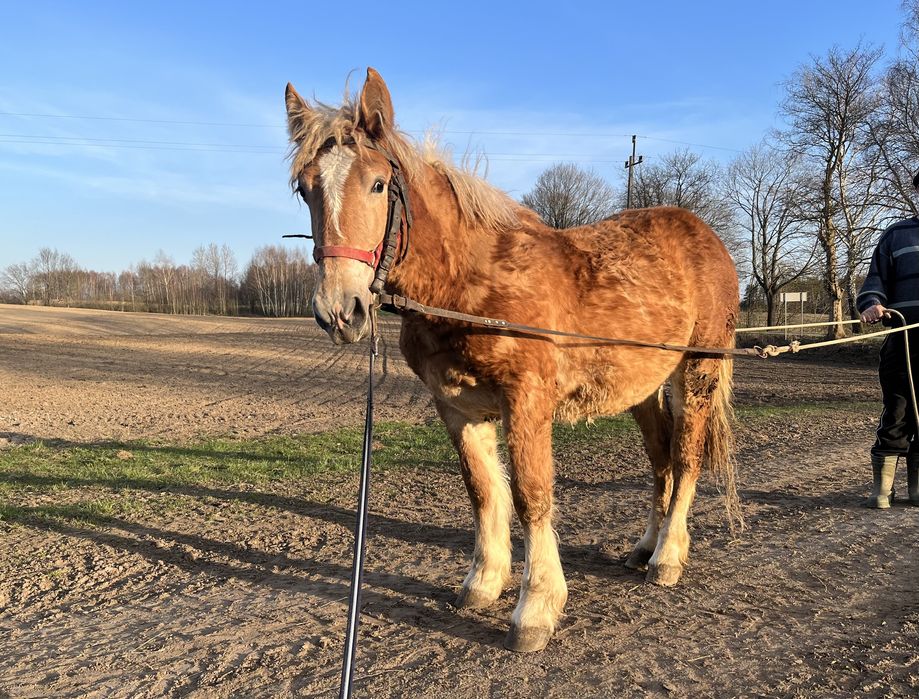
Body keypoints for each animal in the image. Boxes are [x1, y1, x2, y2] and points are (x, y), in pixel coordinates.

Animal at [284, 68, 744, 652]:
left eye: (378, 184)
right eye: (305, 188)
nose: (340, 311)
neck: (466, 284)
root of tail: (709, 239)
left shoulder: (526, 400)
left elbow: (530, 494)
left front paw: (536, 607)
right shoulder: (457, 406)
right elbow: (483, 490)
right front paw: (483, 583)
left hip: (696, 373)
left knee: (686, 459)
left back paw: (667, 557)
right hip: (642, 387)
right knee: (660, 458)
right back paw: (644, 547)